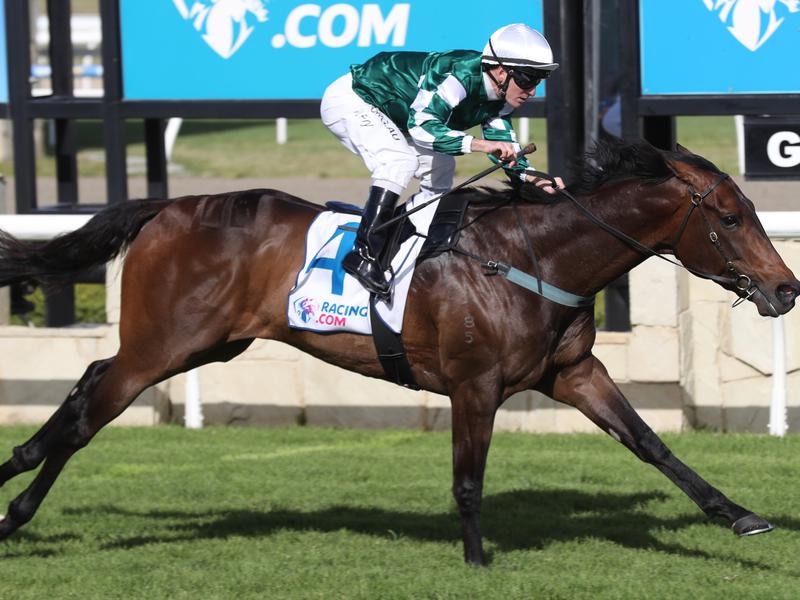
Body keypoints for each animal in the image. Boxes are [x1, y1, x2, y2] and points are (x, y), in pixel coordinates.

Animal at [0, 139, 797, 566]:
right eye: (731, 217)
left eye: (753, 211)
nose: (786, 288)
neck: (534, 255)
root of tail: (165, 206)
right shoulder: (475, 386)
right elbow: (469, 479)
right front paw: (477, 558)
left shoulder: (573, 372)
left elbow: (652, 445)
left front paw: (738, 515)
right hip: (164, 344)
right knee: (89, 413)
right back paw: (16, 505)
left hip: (205, 346)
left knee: (89, 383)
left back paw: (17, 471)